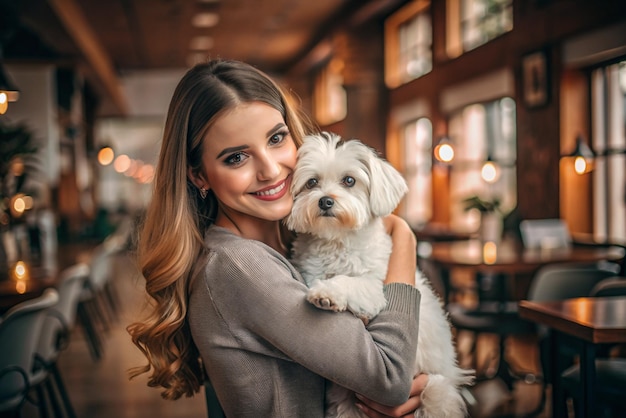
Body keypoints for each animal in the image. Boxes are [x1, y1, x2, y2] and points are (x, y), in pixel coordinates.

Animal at [286, 132, 470, 416]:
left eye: (349, 180)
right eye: (312, 182)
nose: (325, 200)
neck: (337, 242)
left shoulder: (375, 289)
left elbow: (350, 282)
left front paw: (327, 292)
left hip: (435, 390)